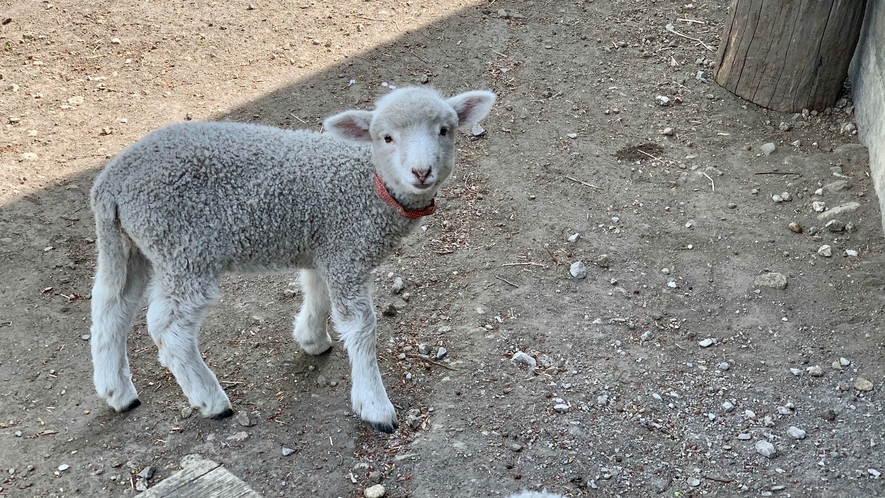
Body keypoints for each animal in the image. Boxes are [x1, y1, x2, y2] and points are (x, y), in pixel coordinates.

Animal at [90, 87, 498, 434]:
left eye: (444, 130)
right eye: (386, 137)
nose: (421, 172)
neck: (368, 183)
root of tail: (111, 183)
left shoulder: (326, 246)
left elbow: (316, 291)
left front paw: (311, 338)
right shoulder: (347, 250)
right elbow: (361, 327)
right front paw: (374, 404)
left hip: (136, 246)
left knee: (111, 307)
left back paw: (116, 392)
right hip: (183, 249)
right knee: (168, 328)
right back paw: (211, 400)